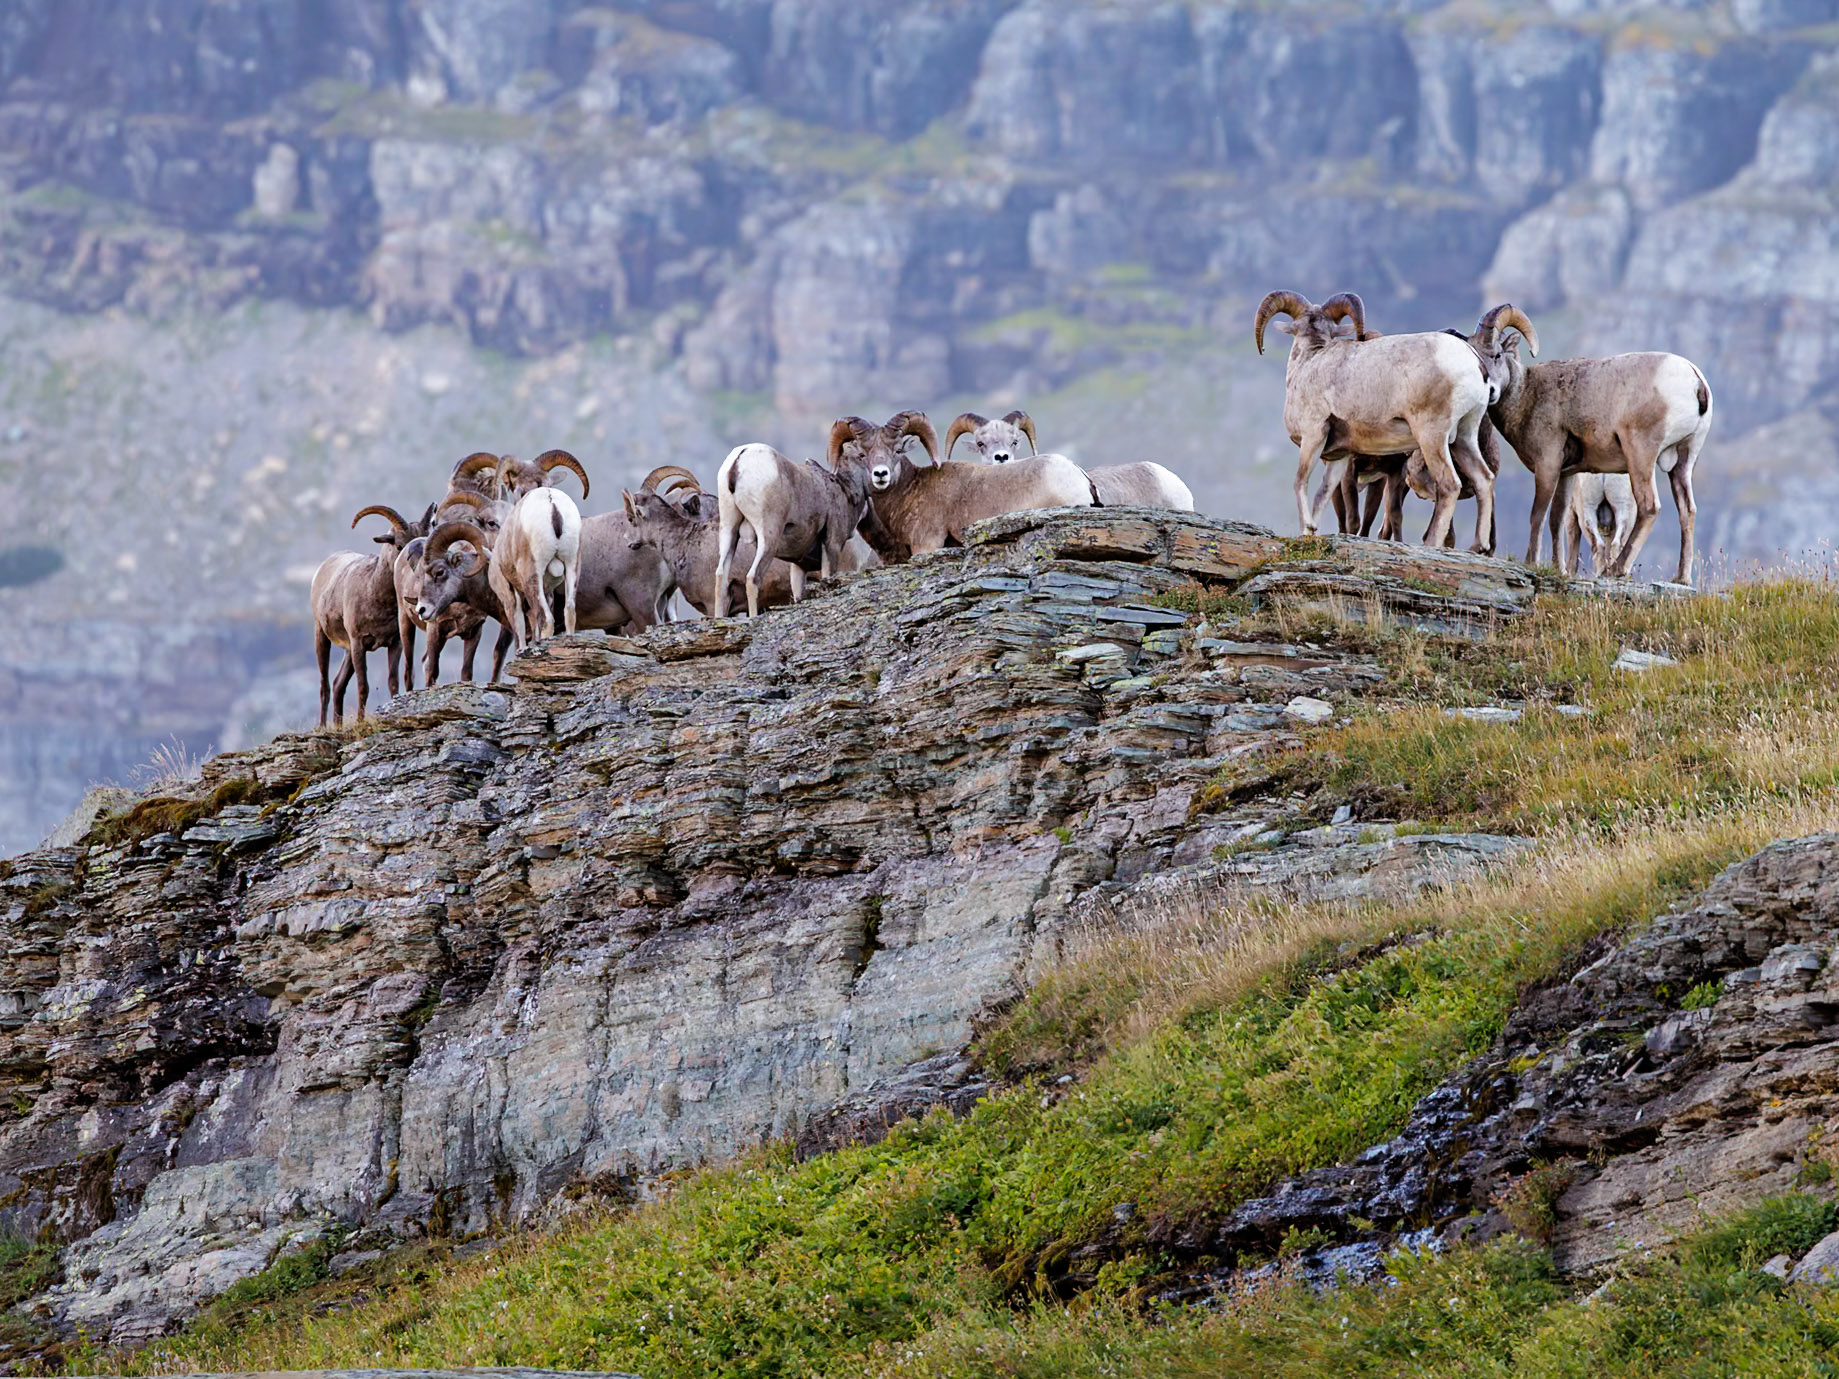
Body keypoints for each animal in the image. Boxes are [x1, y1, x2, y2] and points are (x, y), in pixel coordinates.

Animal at [311, 508, 417, 726]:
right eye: (399, 545)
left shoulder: (395, 644)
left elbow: (393, 682)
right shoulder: (359, 643)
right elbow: (363, 686)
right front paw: (360, 721)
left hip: (348, 651)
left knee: (338, 684)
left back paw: (338, 725)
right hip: (322, 637)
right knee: (325, 686)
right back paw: (324, 726)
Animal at [713, 440, 877, 619]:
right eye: (861, 455)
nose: (879, 475)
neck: (844, 490)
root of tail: (740, 458)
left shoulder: (799, 565)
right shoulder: (832, 546)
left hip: (729, 530)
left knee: (721, 577)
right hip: (768, 537)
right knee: (753, 578)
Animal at [836, 411, 1096, 564]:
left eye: (898, 450)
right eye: (862, 454)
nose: (880, 474)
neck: (912, 491)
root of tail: (1080, 476)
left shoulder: (926, 545)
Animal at [1254, 290, 1501, 551]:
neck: (1309, 362)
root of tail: (1473, 361)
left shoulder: (1314, 435)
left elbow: (1300, 481)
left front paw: (1308, 528)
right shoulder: (1340, 456)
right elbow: (1324, 493)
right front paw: (1311, 534)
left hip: (1432, 438)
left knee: (1449, 485)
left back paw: (1432, 543)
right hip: (1463, 438)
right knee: (1484, 479)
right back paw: (1479, 546)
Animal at [1481, 337, 1712, 583]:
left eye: (1497, 355)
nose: (1489, 391)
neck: (1527, 394)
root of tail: (1695, 381)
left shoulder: (1547, 465)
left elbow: (1538, 515)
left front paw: (1531, 562)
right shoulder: (1566, 473)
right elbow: (1556, 518)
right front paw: (1559, 569)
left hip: (1640, 455)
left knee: (1649, 508)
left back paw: (1616, 570)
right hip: (1684, 461)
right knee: (1687, 510)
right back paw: (1681, 578)